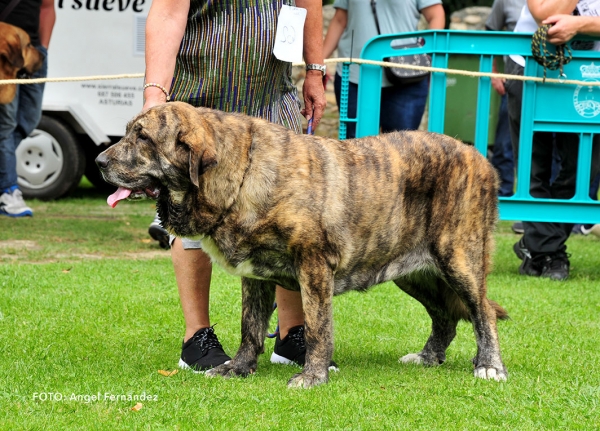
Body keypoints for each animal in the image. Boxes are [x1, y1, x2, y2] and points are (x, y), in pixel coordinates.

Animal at [96, 103, 508, 390]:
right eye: (130, 132)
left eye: (143, 138)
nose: (99, 161)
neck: (242, 173)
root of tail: (481, 159)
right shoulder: (256, 275)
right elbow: (250, 327)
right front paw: (239, 368)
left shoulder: (313, 265)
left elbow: (316, 327)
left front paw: (313, 376)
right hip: (414, 271)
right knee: (445, 317)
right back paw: (428, 356)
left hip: (459, 259)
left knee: (482, 312)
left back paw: (489, 365)